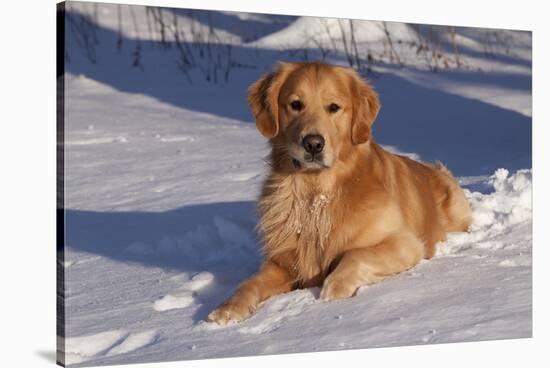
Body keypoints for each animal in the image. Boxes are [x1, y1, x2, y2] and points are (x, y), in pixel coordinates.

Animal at [207, 61, 474, 324]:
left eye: (333, 107)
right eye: (295, 104)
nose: (313, 144)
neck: (316, 195)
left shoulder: (405, 243)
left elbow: (355, 255)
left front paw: (332, 292)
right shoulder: (283, 262)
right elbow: (250, 283)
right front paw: (227, 309)